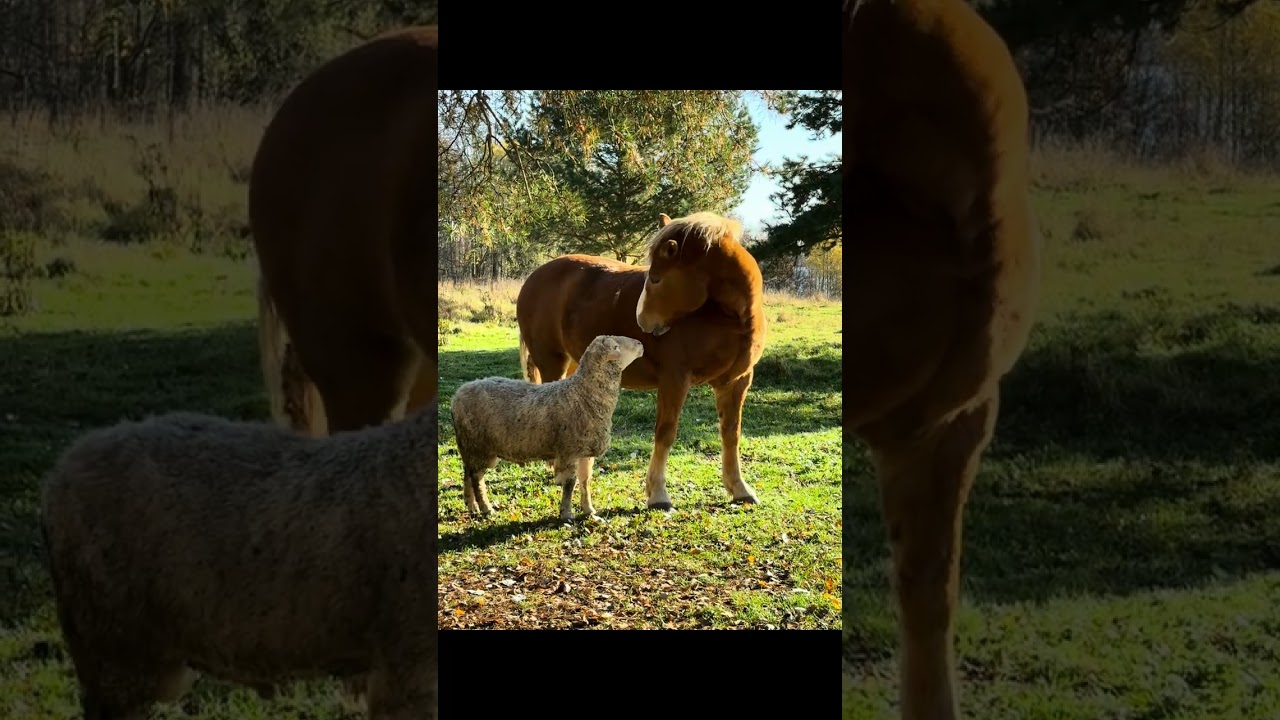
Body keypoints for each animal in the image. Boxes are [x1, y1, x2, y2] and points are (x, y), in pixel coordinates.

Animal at [515, 211, 767, 511]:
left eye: (656, 279)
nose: (642, 321)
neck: (726, 318)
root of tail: (533, 278)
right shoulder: (674, 379)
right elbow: (665, 433)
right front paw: (658, 494)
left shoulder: (736, 382)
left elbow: (731, 434)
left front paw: (739, 489)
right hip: (552, 362)